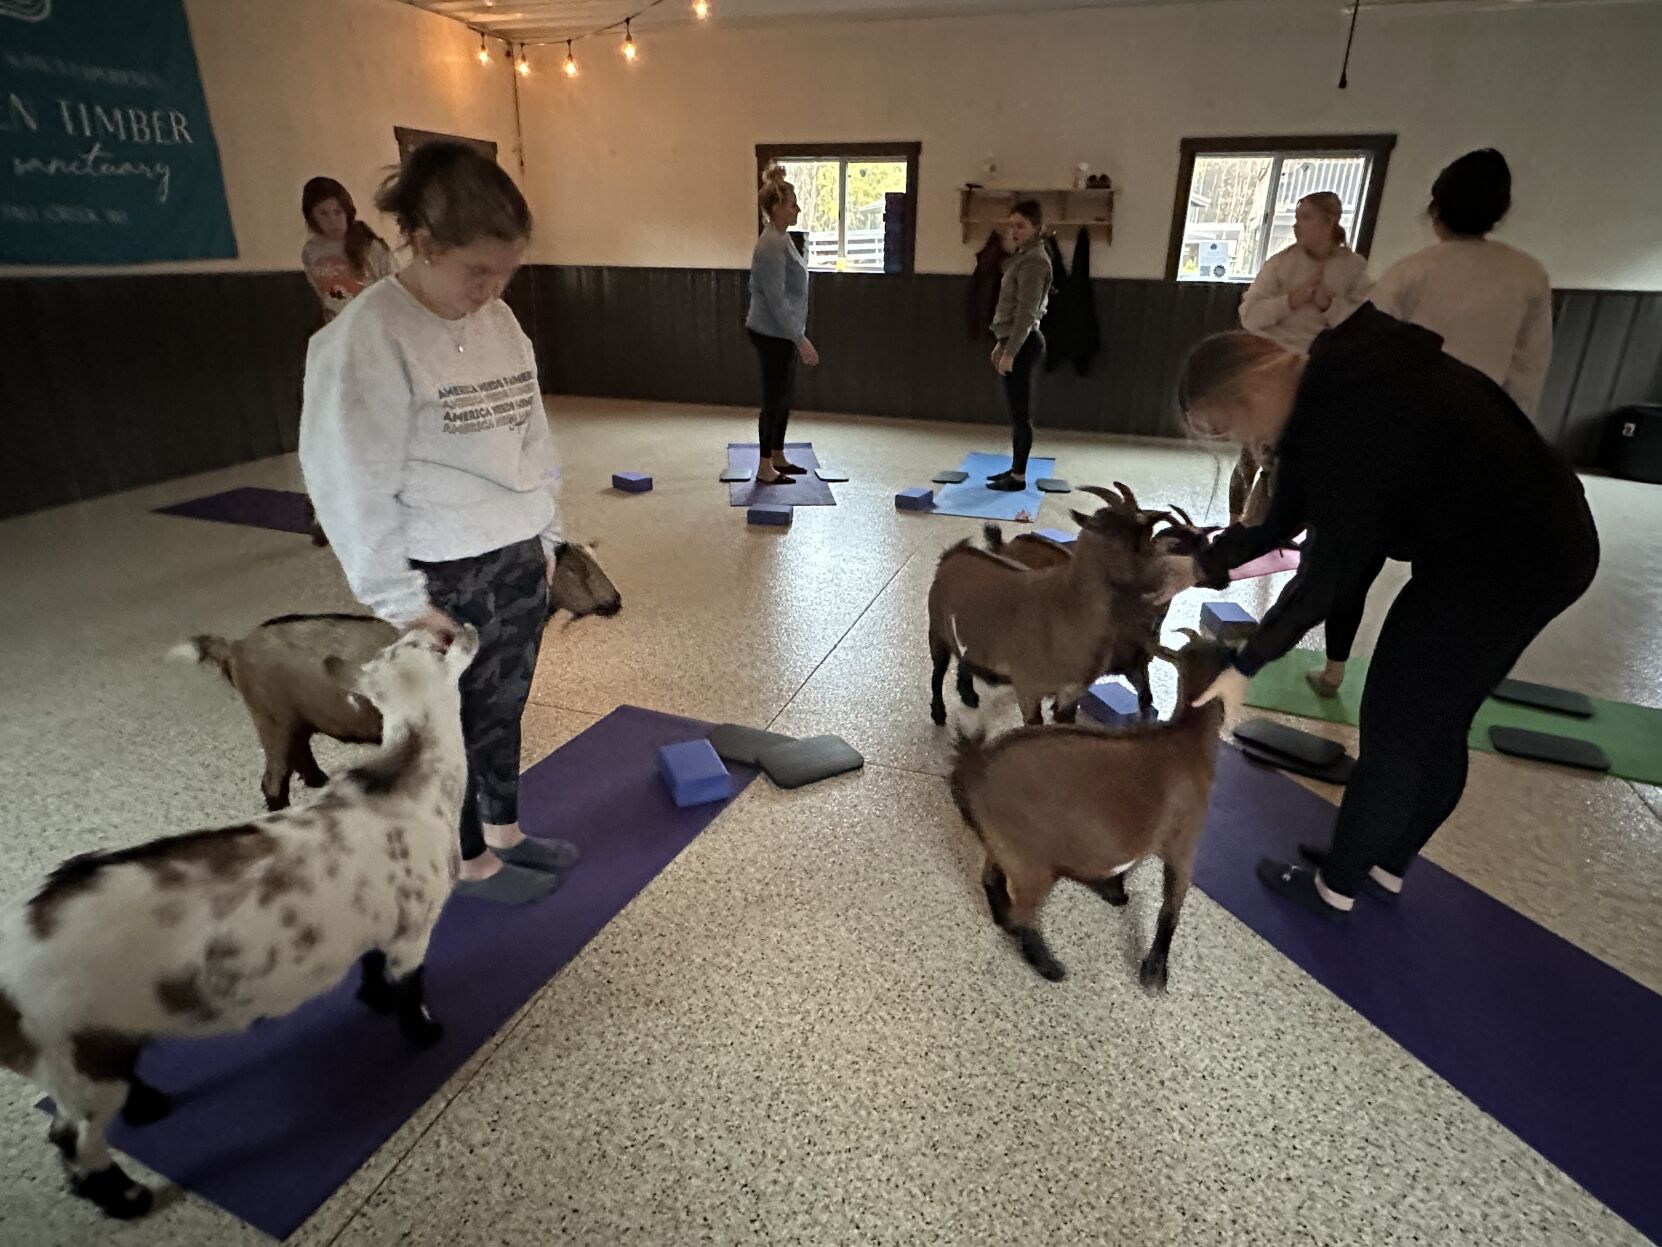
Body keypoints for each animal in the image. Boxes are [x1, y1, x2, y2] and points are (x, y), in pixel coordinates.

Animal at [0, 625, 481, 1223]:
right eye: (436, 645)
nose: (461, 628)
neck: (408, 778)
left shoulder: (377, 923)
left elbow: (370, 966)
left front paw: (374, 1000)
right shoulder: (412, 928)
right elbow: (410, 985)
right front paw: (423, 1031)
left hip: (94, 1041)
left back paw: (149, 1107)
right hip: (71, 1052)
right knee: (74, 1138)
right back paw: (128, 1198)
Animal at [950, 628, 1236, 990]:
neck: (1188, 736)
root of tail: (975, 765)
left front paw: (1113, 891)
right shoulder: (1182, 846)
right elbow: (1170, 908)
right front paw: (1155, 972)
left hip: (1003, 844)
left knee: (991, 878)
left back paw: (1005, 921)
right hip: (1032, 862)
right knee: (1026, 912)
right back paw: (1047, 965)